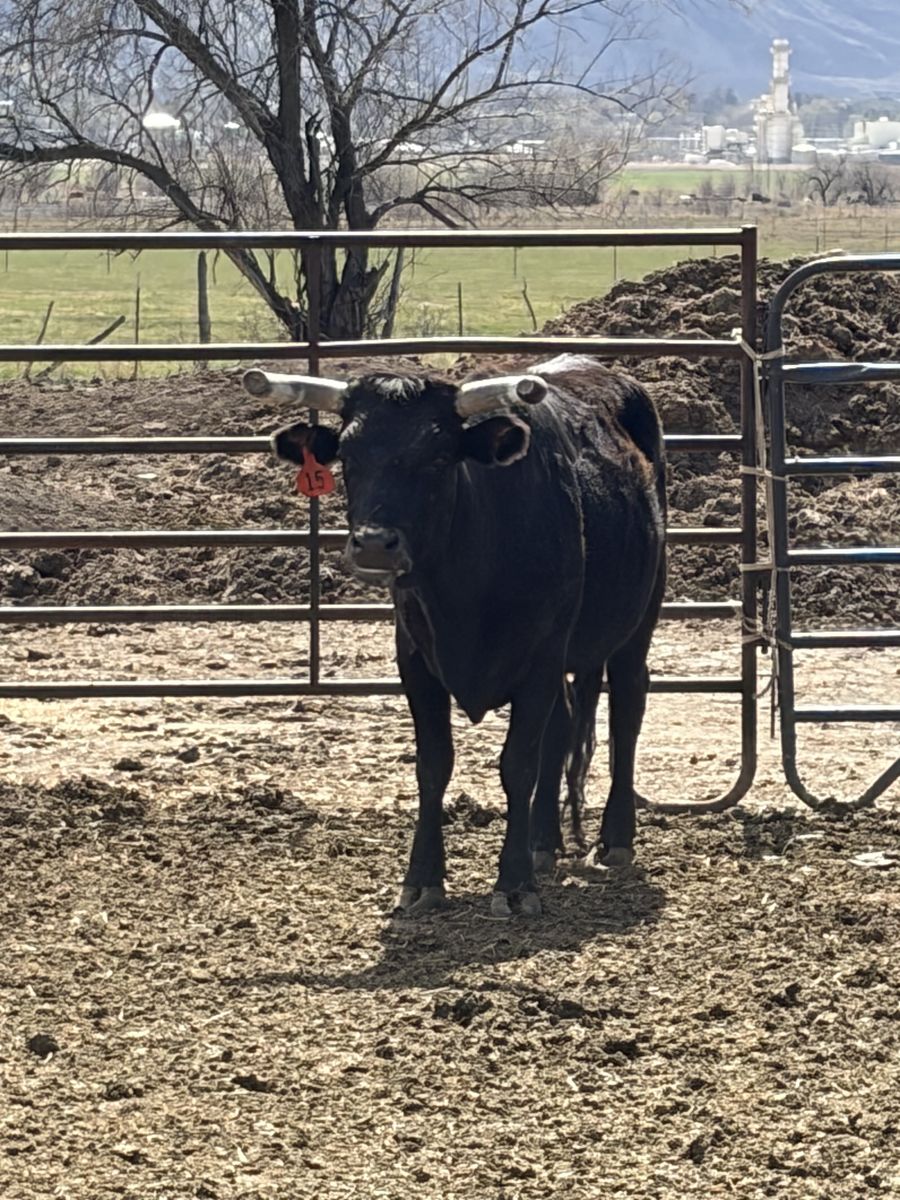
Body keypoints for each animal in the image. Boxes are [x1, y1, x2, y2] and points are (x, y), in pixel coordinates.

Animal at [243, 356, 666, 917]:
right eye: (349, 454)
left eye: (440, 456)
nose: (373, 544)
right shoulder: (416, 663)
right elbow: (434, 766)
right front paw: (422, 879)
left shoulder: (540, 660)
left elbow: (518, 765)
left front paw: (513, 884)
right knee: (563, 728)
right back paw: (543, 844)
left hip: (638, 622)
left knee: (628, 710)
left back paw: (615, 839)